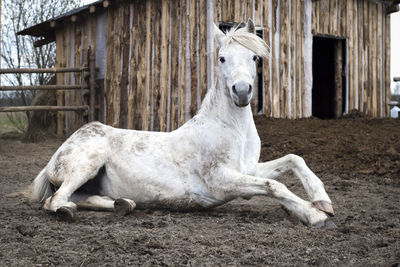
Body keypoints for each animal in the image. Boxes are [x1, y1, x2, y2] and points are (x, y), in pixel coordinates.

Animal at [21, 21, 334, 229]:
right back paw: (70, 211)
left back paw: (124, 204)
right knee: (55, 201)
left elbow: (293, 159)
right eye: (222, 58)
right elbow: (274, 185)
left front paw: (322, 201)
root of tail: (59, 152)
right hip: (86, 164)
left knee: (85, 197)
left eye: (255, 58)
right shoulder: (221, 181)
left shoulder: (247, 170)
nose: (242, 91)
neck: (232, 130)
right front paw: (315, 215)